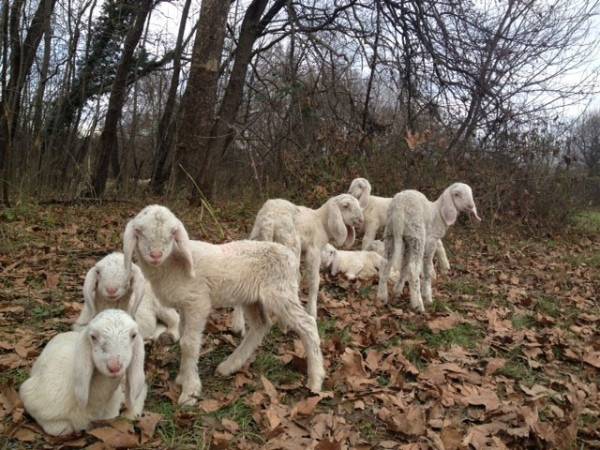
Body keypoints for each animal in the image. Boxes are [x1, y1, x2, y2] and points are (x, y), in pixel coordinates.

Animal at [123, 206, 326, 406]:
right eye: (139, 231)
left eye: (173, 232)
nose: (155, 255)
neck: (173, 264)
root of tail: (289, 255)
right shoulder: (184, 305)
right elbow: (182, 336)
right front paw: (182, 377)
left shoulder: (198, 302)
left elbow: (189, 343)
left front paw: (190, 391)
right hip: (252, 298)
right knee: (261, 325)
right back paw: (230, 365)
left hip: (280, 292)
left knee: (307, 324)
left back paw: (316, 379)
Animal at [378, 181, 480, 312]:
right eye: (457, 194)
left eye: (470, 193)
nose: (471, 205)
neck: (438, 213)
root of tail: (399, 207)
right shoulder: (431, 240)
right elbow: (426, 268)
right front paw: (427, 296)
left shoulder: (408, 242)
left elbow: (404, 266)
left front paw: (397, 290)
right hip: (417, 234)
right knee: (413, 269)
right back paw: (418, 304)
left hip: (391, 233)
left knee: (386, 262)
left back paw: (382, 297)